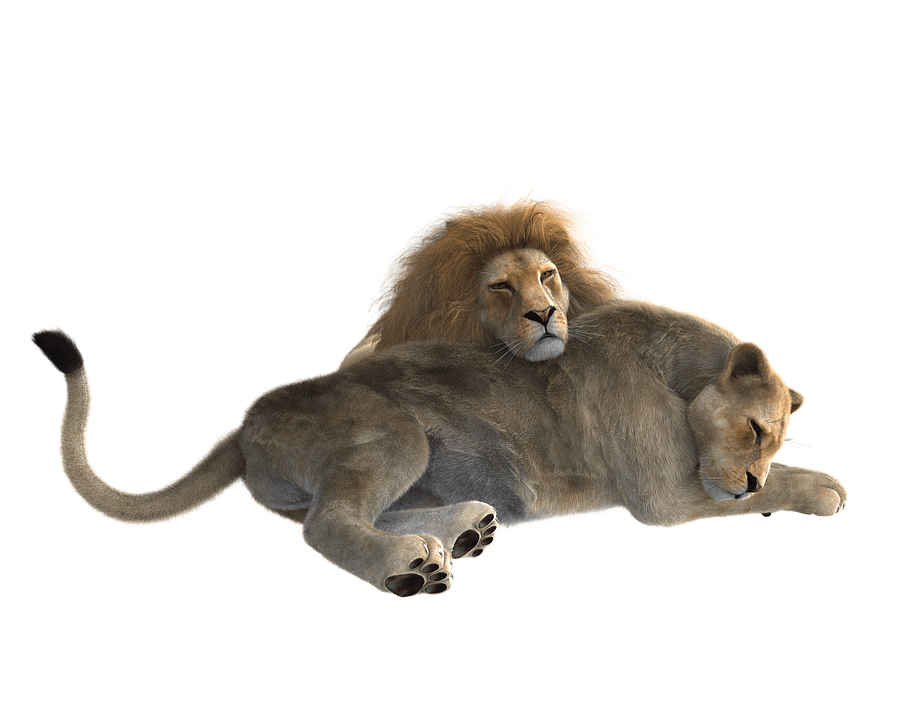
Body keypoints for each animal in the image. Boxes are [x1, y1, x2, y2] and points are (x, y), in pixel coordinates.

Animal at [30, 297, 848, 598]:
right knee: (327, 524)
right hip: (394, 431)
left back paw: (461, 531)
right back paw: (411, 568)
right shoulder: (665, 498)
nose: (746, 482)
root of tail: (244, 419)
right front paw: (822, 489)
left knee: (346, 512)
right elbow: (770, 492)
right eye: (754, 431)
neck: (680, 373)